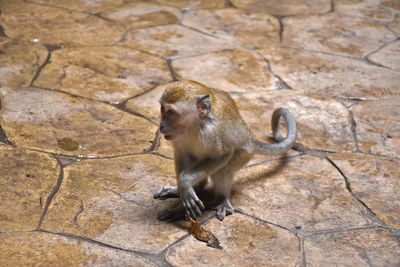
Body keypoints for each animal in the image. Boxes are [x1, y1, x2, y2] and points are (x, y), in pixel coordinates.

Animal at [153, 79, 296, 222]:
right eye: (162, 109)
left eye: (171, 112)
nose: (161, 125)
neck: (195, 126)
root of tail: (249, 137)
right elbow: (182, 155)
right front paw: (180, 201)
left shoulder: (211, 133)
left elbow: (222, 156)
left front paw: (185, 182)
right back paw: (192, 189)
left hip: (245, 154)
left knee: (224, 169)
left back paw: (222, 200)